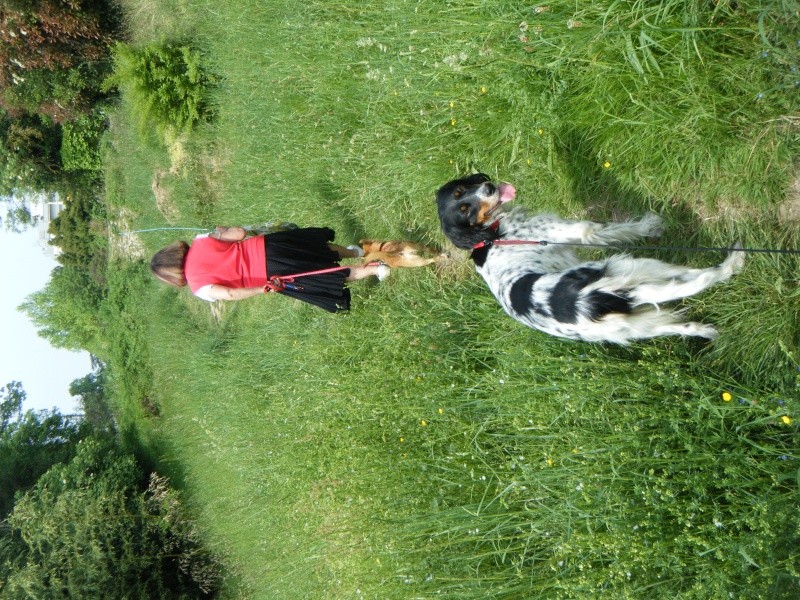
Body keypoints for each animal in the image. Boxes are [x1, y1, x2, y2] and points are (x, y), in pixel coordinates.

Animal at [438, 172, 744, 342]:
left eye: (463, 191)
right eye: (464, 207)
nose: (489, 188)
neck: (486, 234)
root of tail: (585, 305)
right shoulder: (577, 231)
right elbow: (618, 229)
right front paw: (652, 225)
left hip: (635, 326)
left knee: (682, 322)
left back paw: (707, 331)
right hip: (631, 268)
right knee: (695, 277)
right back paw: (732, 263)